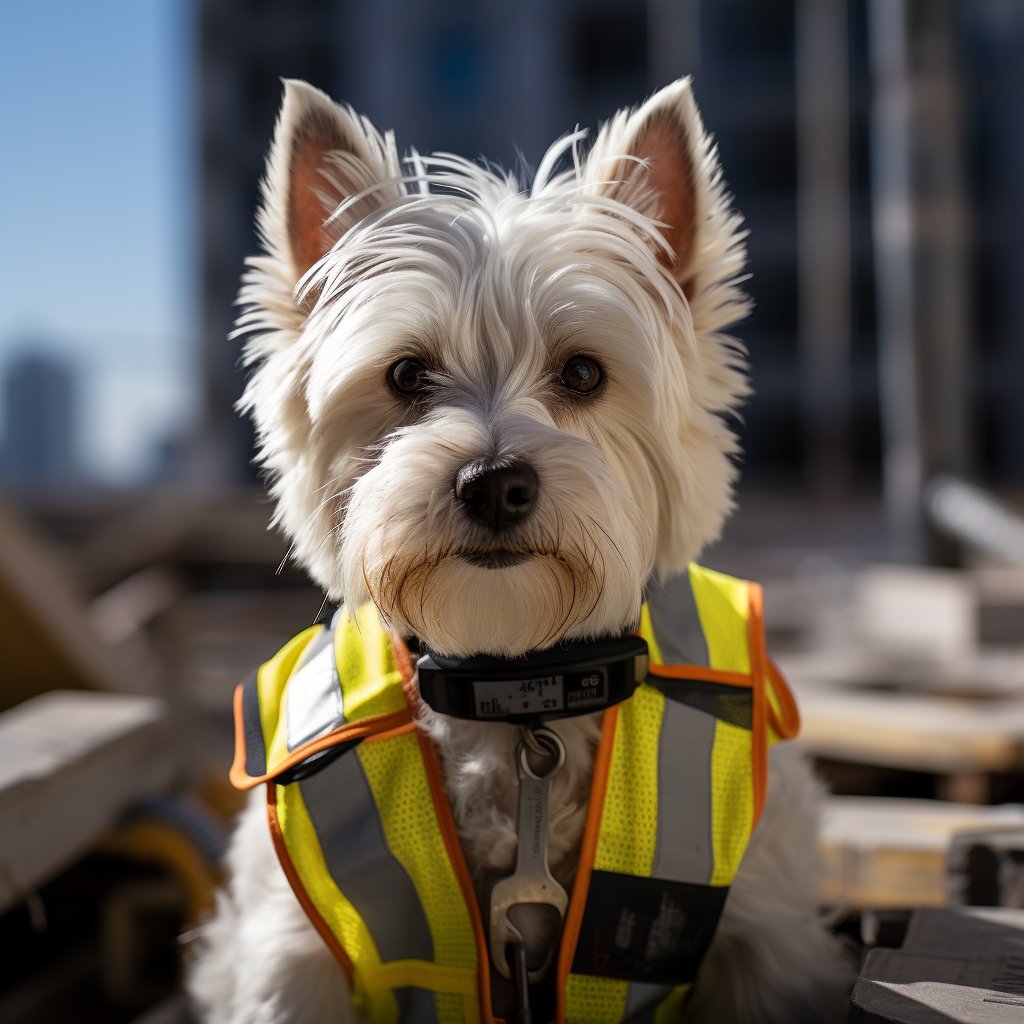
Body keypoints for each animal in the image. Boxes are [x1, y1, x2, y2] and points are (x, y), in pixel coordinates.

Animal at [188, 79, 851, 1024]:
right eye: (406, 375)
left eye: (582, 374)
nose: (494, 484)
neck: (517, 693)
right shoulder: (293, 955)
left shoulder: (764, 942)